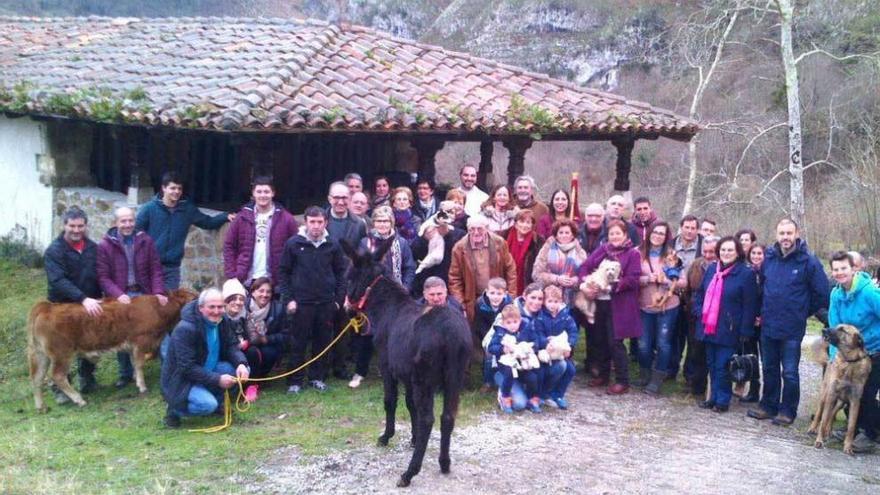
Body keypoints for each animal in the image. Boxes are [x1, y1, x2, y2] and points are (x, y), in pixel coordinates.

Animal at [27, 288, 196, 412]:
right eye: (193, 297)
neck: (158, 309)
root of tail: (47, 308)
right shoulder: (140, 341)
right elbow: (139, 363)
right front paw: (142, 386)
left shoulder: (133, 346)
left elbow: (135, 363)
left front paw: (135, 378)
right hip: (62, 354)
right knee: (57, 376)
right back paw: (78, 399)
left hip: (41, 355)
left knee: (37, 378)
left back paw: (41, 407)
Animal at [812, 326, 872, 458]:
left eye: (842, 330)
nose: (824, 330)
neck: (849, 361)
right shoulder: (831, 395)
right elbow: (823, 420)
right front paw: (819, 441)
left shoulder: (855, 401)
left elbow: (851, 427)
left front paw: (848, 447)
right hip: (825, 396)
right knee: (820, 413)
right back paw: (813, 428)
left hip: (841, 402)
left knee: (832, 413)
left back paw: (828, 430)